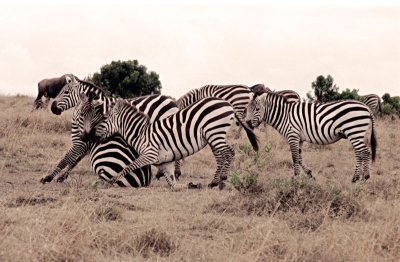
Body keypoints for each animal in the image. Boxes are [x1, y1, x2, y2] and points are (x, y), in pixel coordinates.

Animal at [41, 74, 178, 187]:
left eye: (66, 92)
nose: (53, 108)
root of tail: (172, 102)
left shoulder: (84, 141)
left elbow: (68, 158)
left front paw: (49, 177)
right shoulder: (87, 140)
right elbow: (75, 159)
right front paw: (62, 177)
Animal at [79, 95, 260, 189]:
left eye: (103, 118)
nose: (87, 137)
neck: (140, 133)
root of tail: (227, 103)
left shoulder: (150, 154)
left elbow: (128, 167)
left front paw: (110, 181)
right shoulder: (164, 161)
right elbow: (172, 181)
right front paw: (188, 185)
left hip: (215, 131)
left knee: (229, 152)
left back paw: (221, 180)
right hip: (213, 135)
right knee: (222, 155)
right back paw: (215, 181)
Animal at [245, 92, 376, 182]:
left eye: (257, 109)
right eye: (247, 109)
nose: (247, 123)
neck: (284, 115)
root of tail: (367, 108)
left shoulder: (292, 135)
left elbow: (294, 157)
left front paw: (295, 178)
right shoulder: (299, 138)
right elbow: (299, 157)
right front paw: (309, 174)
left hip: (354, 131)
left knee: (365, 152)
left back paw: (363, 177)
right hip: (356, 134)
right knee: (360, 153)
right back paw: (358, 177)